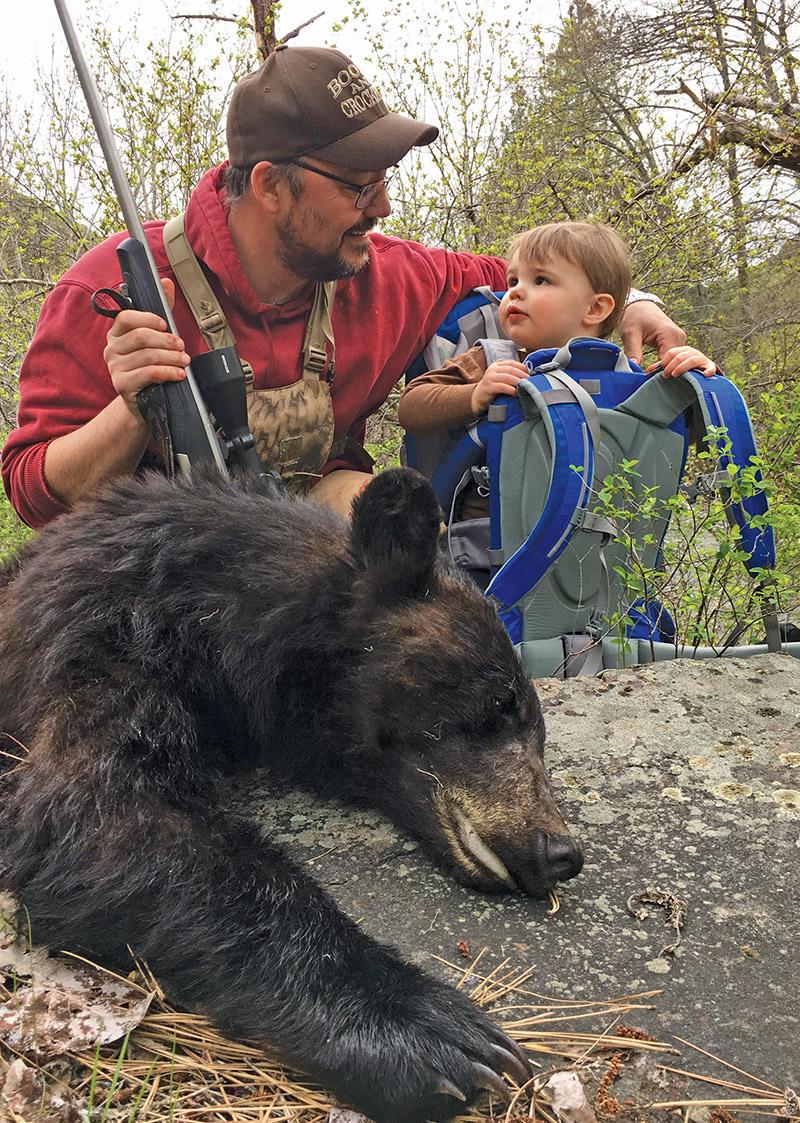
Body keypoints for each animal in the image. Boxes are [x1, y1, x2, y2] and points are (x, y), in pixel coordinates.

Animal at [0, 467, 583, 1123]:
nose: (562, 852)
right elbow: (93, 809)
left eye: (539, 731)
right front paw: (427, 1030)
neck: (207, 610)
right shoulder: (100, 638)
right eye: (501, 703)